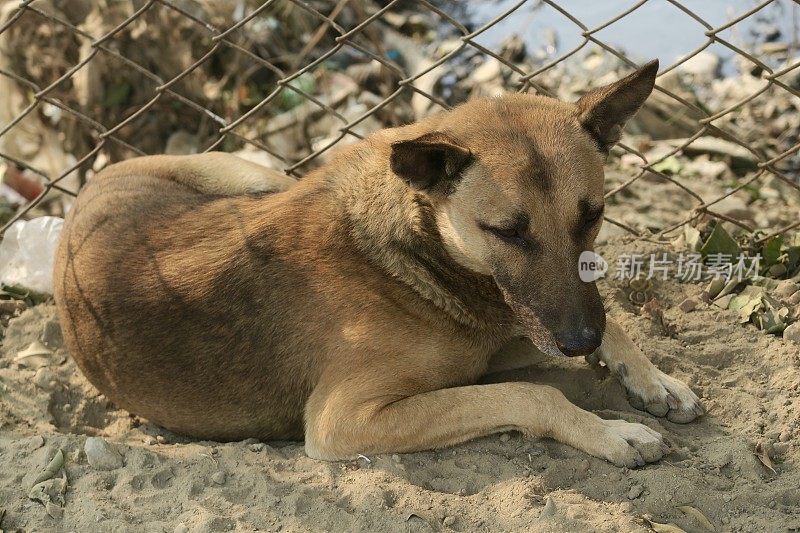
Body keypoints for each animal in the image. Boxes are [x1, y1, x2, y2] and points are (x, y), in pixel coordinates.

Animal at [54, 59, 700, 466]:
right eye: (506, 232)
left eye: (593, 215)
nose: (578, 340)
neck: (416, 252)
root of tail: (84, 197)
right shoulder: (343, 419)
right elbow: (529, 394)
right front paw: (613, 433)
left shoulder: (497, 336)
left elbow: (610, 322)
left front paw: (655, 380)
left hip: (259, 177)